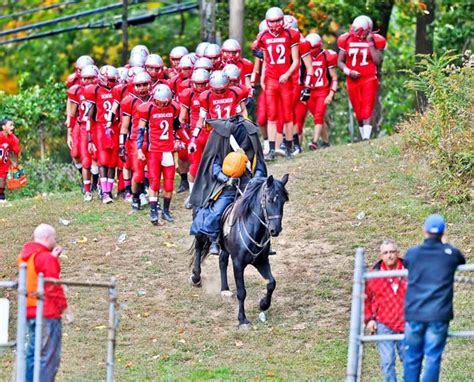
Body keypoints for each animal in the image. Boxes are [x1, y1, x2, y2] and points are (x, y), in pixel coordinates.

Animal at [189, 175, 288, 328]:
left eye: (283, 201)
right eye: (269, 200)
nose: (275, 230)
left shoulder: (262, 261)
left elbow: (272, 283)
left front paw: (263, 304)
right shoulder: (238, 264)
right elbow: (242, 292)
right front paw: (242, 319)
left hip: (224, 248)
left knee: (222, 261)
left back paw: (224, 289)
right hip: (201, 232)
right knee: (199, 250)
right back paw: (196, 278)